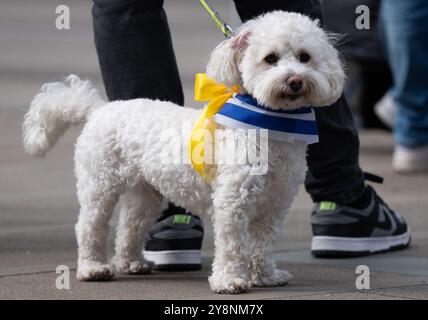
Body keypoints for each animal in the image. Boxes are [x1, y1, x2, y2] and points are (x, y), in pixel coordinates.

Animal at [22, 11, 344, 292]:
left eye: (305, 57)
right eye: (271, 59)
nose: (295, 80)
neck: (270, 123)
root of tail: (98, 109)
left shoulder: (274, 204)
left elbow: (263, 244)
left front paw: (265, 276)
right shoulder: (232, 202)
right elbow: (232, 245)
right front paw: (229, 281)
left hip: (146, 192)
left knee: (130, 225)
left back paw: (131, 262)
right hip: (100, 184)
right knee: (90, 225)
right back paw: (92, 268)